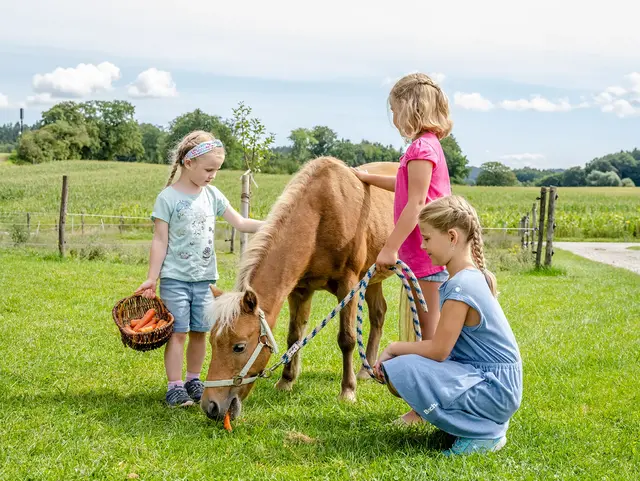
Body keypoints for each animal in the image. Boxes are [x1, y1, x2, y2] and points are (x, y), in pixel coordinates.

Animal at [202, 157, 398, 420]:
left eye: (239, 347)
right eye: (212, 341)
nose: (211, 406)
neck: (321, 213)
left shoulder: (348, 286)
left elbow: (346, 339)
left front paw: (347, 391)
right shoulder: (300, 290)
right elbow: (294, 336)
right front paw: (286, 380)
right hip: (374, 277)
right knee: (378, 315)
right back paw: (366, 371)